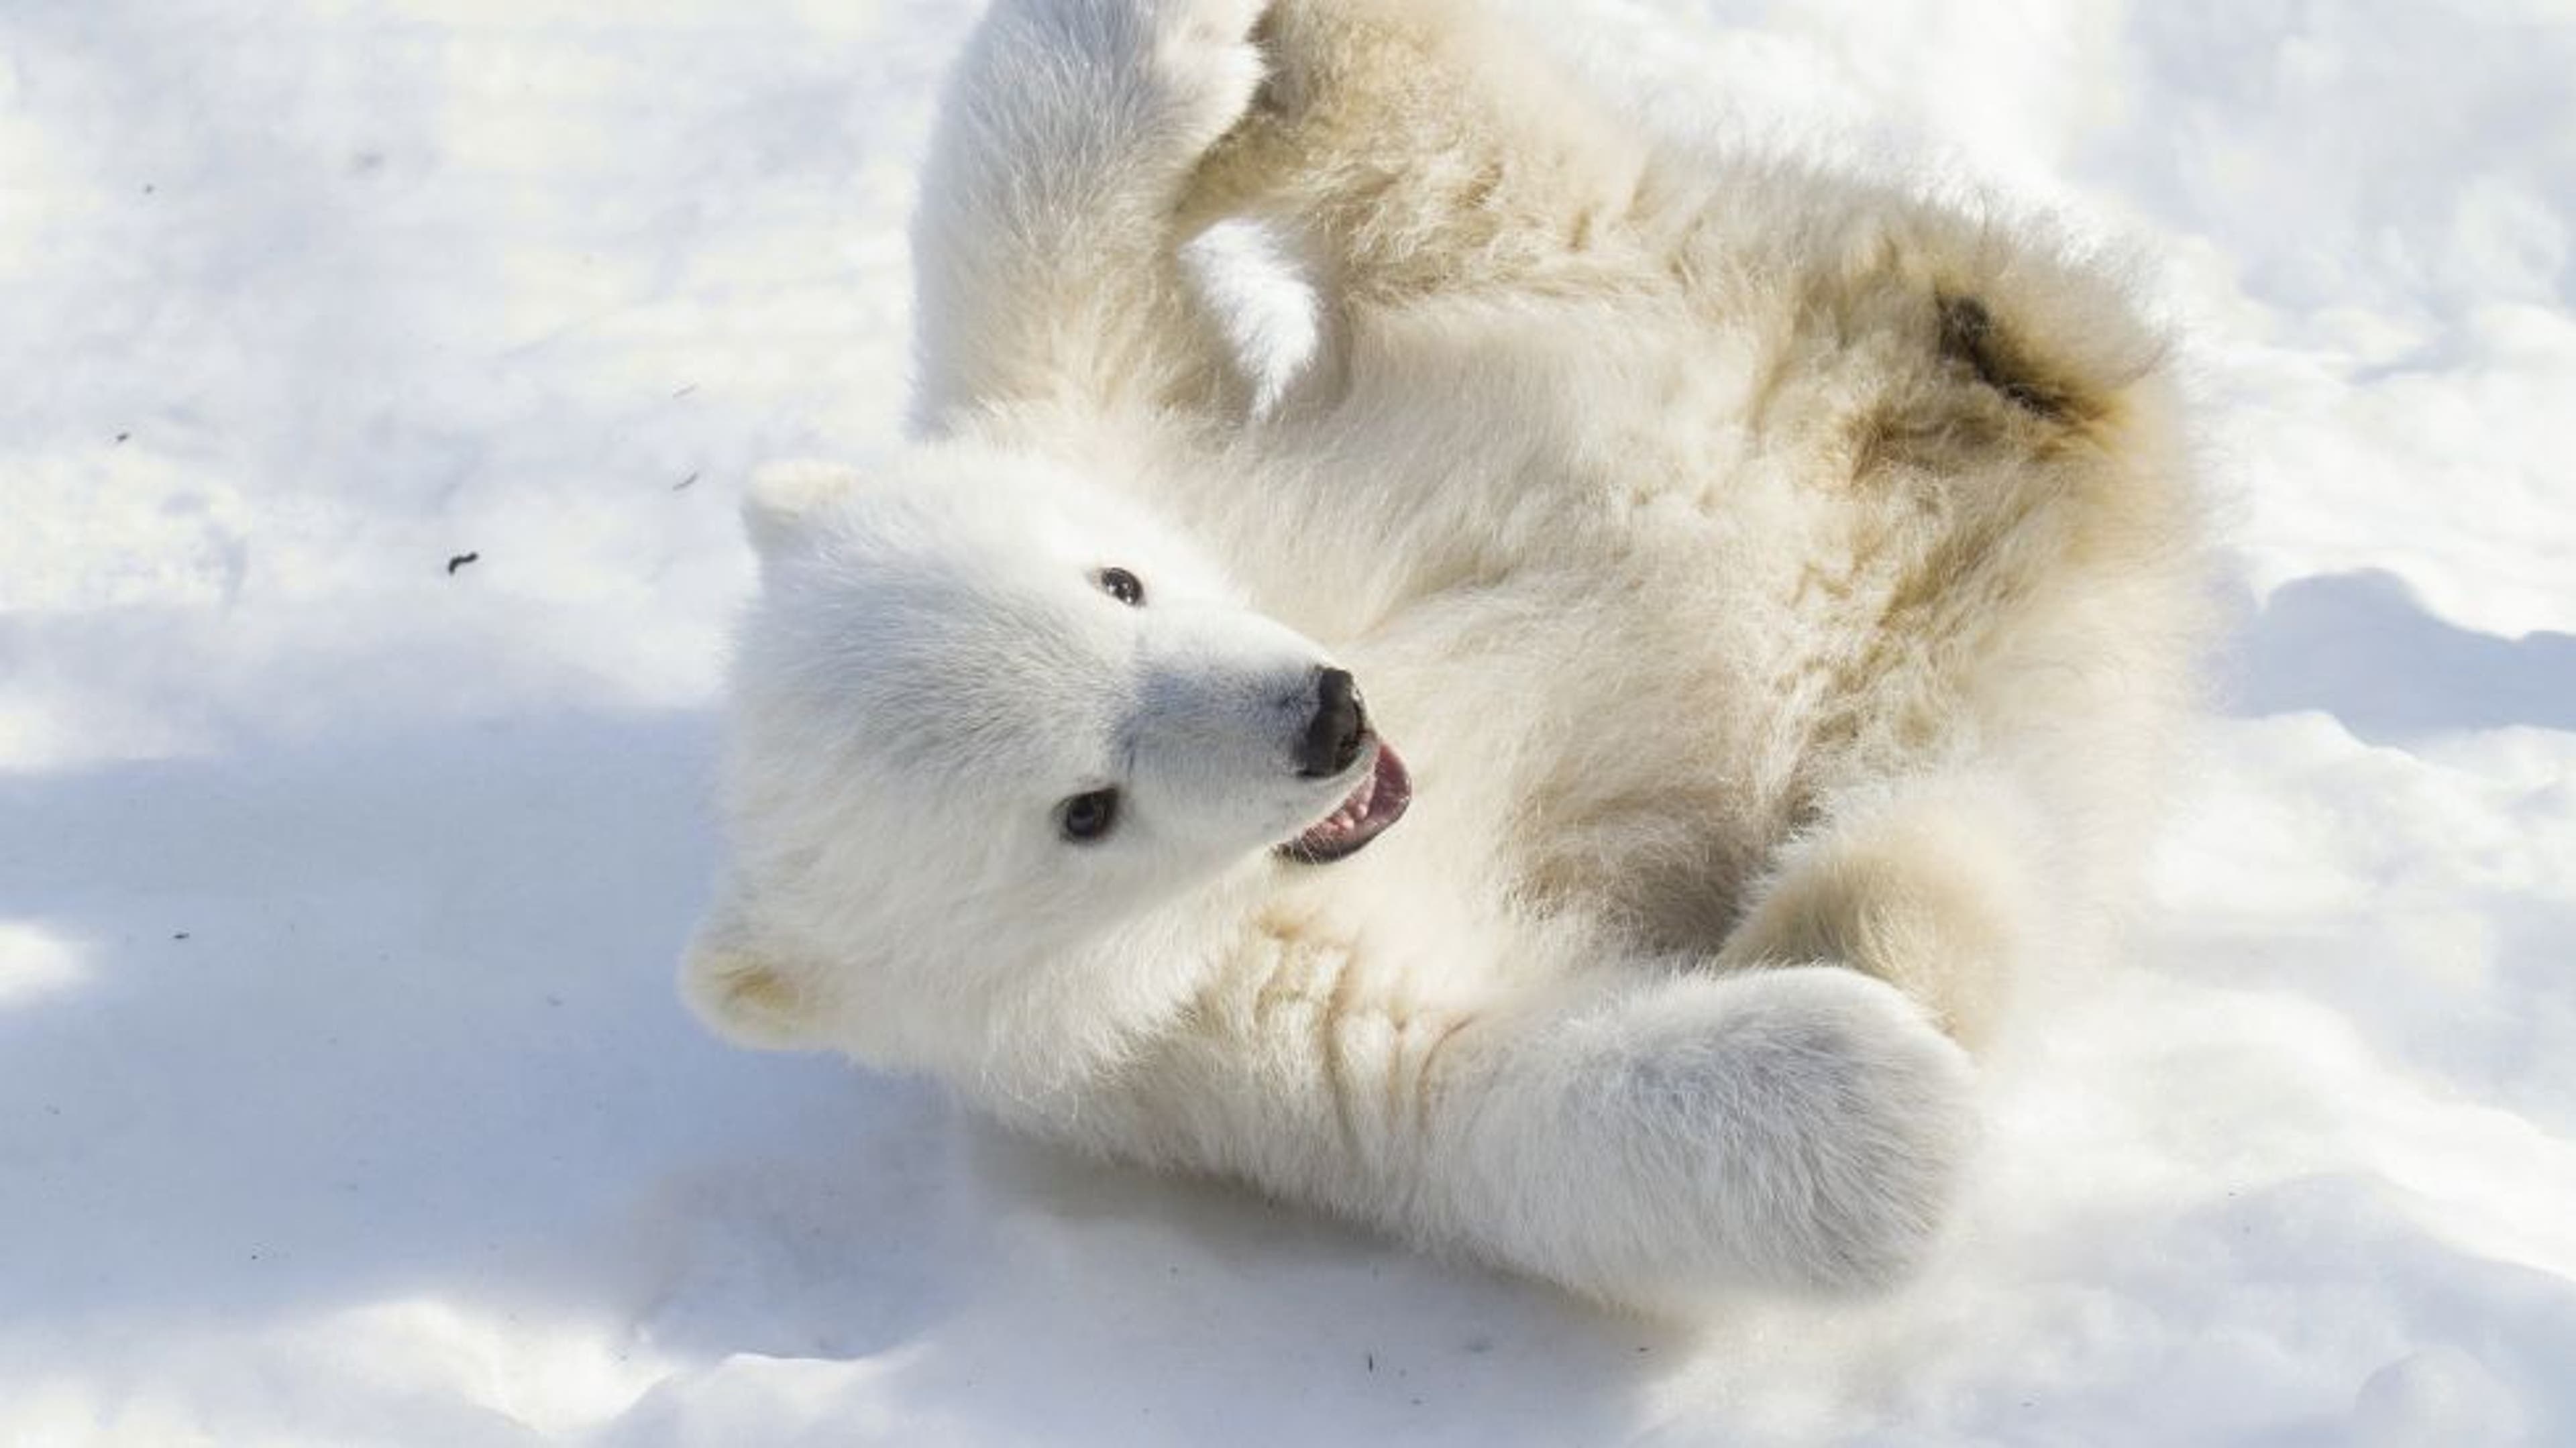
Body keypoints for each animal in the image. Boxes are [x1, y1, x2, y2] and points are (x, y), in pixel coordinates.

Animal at [680, 0, 2205, 1315]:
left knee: (1459, 143)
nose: (1327, 714)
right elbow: (1488, 1091)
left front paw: (1159, 37)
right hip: (2013, 663)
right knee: (1977, 819)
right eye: (1086, 811)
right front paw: (1877, 1070)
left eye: (1118, 581)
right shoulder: (1210, 1038)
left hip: (1606, 275)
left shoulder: (1134, 437)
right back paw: (1859, 918)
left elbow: (1026, 265)